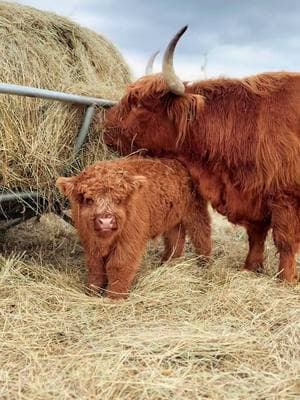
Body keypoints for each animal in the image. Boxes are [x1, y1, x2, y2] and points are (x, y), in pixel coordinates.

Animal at [56, 158, 211, 298]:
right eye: (89, 199)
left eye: (118, 199)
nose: (106, 221)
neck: (105, 241)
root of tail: (178, 163)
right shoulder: (90, 241)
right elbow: (96, 267)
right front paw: (92, 291)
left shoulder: (129, 240)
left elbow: (118, 266)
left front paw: (115, 296)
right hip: (173, 221)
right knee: (175, 241)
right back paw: (167, 264)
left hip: (195, 211)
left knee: (202, 235)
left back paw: (204, 264)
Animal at [103, 25, 300, 282]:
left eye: (140, 104)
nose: (103, 125)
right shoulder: (254, 194)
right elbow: (255, 236)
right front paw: (249, 268)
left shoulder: (285, 198)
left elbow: (285, 242)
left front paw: (285, 281)